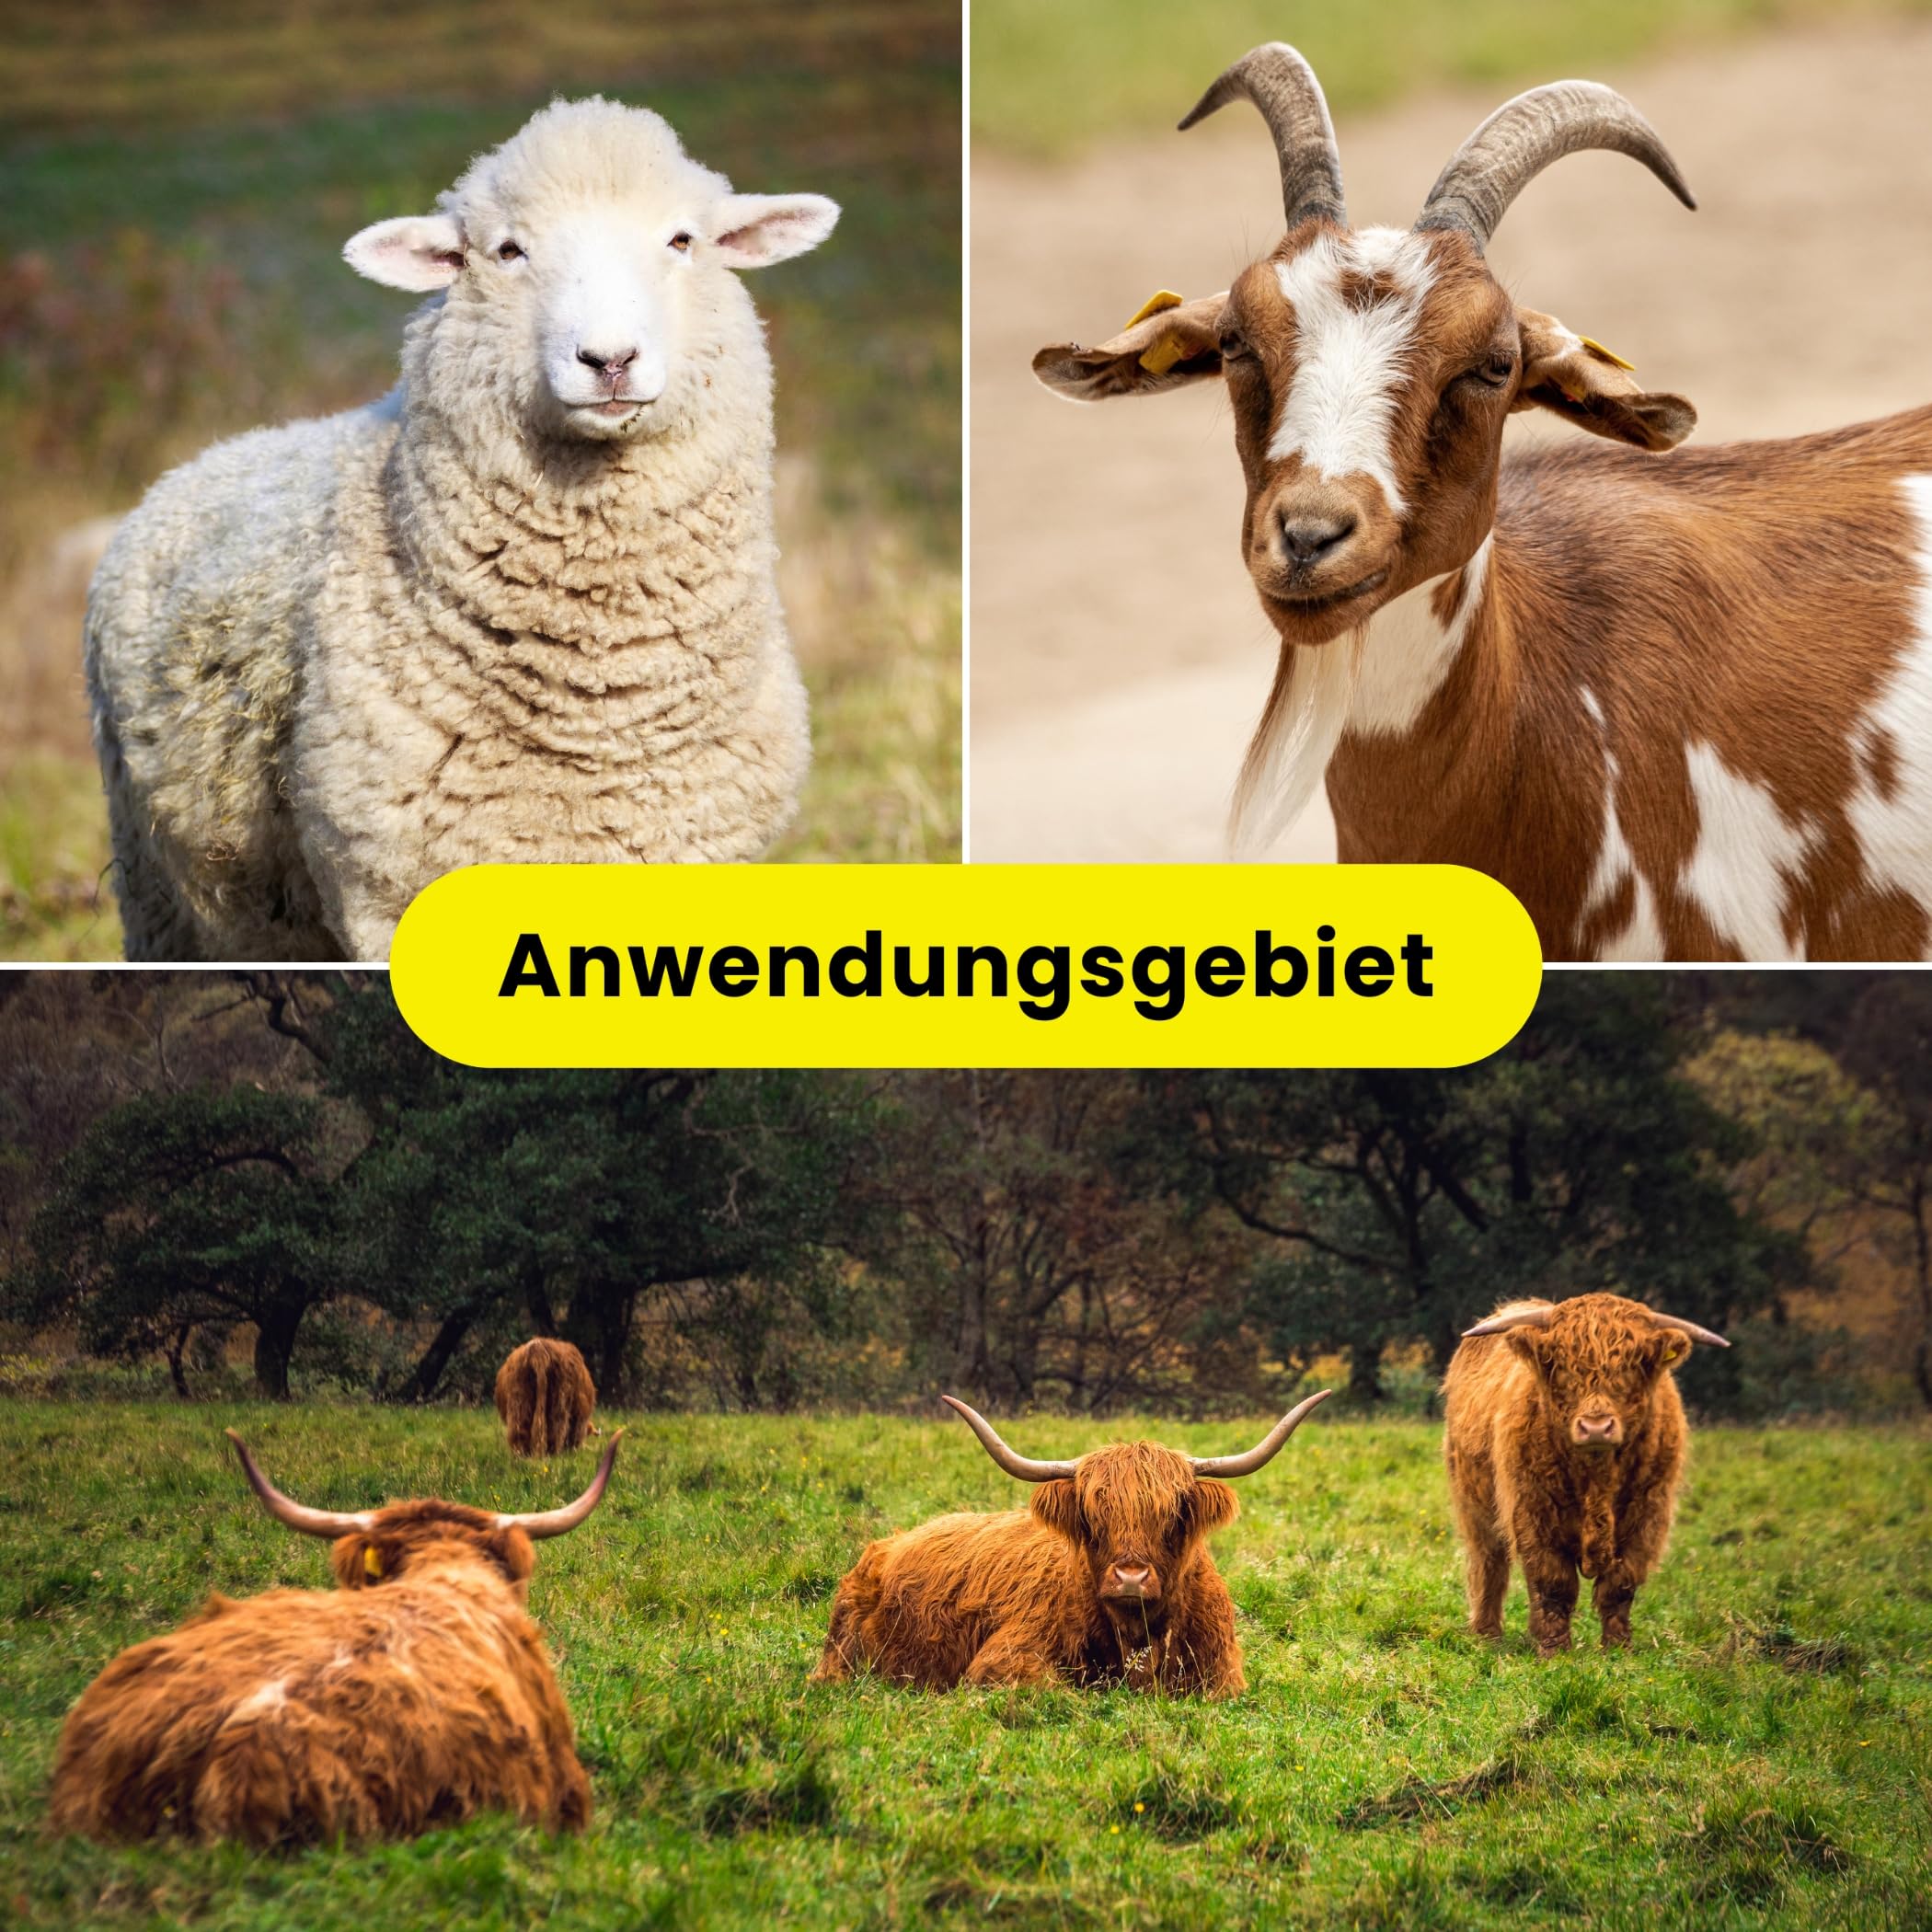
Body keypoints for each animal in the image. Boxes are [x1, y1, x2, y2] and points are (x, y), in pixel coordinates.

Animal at [86, 96, 839, 962]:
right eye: (508, 250)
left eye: (683, 240)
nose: (608, 360)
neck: (598, 706)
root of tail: (193, 463)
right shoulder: (392, 890)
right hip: (162, 890)